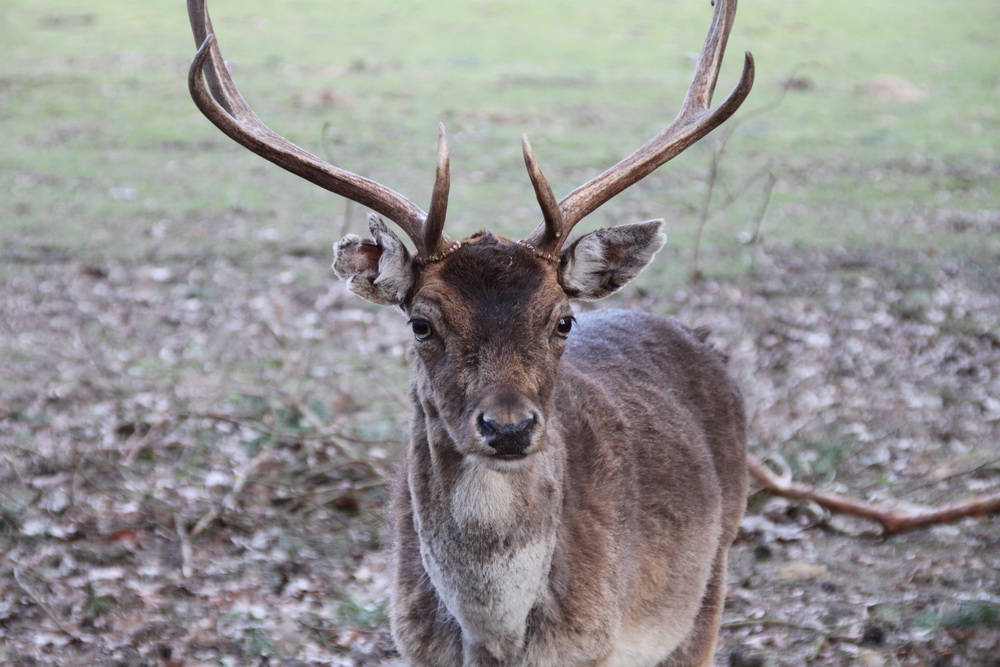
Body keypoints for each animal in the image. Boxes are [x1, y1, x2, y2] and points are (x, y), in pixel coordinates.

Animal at [186, 1, 752, 664]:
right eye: (421, 322)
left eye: (563, 318)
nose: (507, 428)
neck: (496, 643)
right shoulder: (409, 642)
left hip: (708, 586)